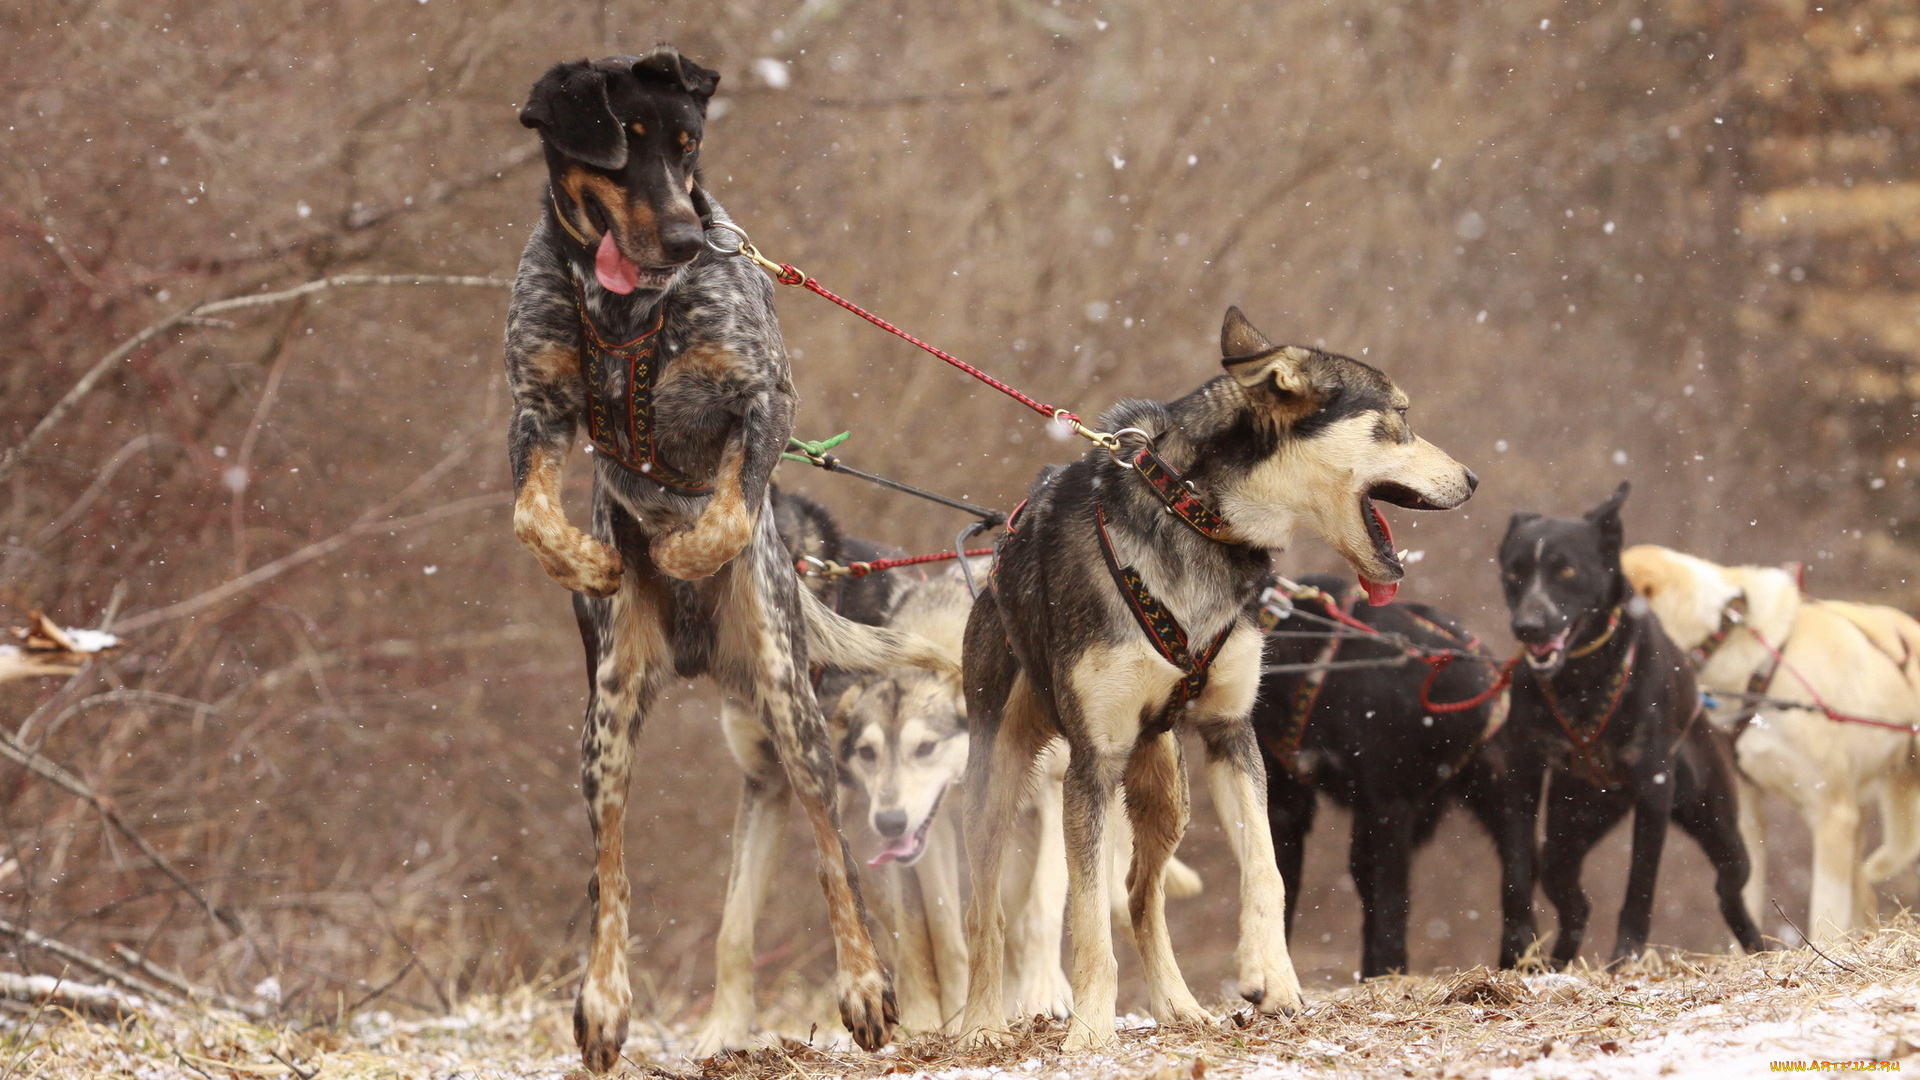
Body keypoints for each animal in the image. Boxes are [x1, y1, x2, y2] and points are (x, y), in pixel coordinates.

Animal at [506, 48, 948, 1060]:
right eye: (624, 141)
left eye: (687, 145)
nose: (683, 238)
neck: (624, 314)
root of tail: (701, 657)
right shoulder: (535, 411)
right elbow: (531, 515)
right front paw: (592, 561)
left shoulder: (762, 398)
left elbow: (732, 512)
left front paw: (687, 543)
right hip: (607, 726)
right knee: (612, 867)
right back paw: (604, 996)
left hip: (793, 710)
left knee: (835, 853)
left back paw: (864, 984)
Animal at [956, 307, 1466, 1045]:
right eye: (1399, 415)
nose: (1472, 479)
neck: (1195, 518)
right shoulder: (1093, 763)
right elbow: (1086, 918)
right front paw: (1090, 1032)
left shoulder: (1232, 733)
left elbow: (1266, 870)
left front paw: (1272, 979)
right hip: (995, 778)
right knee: (985, 909)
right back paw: (980, 1024)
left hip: (1167, 792)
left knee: (1142, 897)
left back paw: (1180, 1006)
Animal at [1489, 484, 1758, 960]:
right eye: (1515, 572)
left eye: (1567, 569)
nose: (1528, 626)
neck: (1581, 677)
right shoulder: (1524, 769)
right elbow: (1517, 869)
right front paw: (1517, 950)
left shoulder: (1654, 783)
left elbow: (1641, 880)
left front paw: (1627, 956)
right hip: (1572, 825)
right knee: (1571, 897)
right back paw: (1559, 961)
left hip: (1714, 819)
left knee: (1731, 884)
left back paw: (1762, 946)